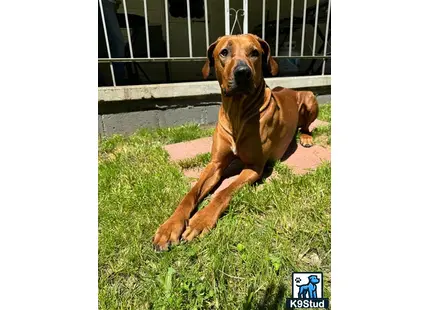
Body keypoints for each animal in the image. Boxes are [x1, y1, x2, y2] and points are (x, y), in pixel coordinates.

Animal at [153, 34, 318, 252]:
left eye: (255, 52)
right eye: (224, 52)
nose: (242, 72)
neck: (237, 111)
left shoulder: (254, 167)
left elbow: (223, 192)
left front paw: (200, 220)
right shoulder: (215, 164)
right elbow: (190, 194)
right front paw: (170, 226)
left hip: (310, 98)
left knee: (306, 125)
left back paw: (306, 137)